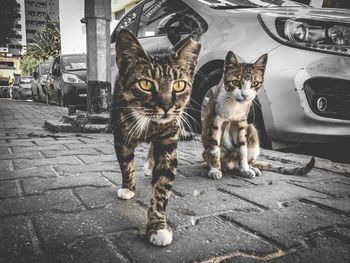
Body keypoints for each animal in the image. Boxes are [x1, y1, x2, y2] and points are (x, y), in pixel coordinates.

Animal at [110, 29, 201, 249]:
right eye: (145, 84)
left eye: (179, 85)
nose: (167, 106)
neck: (149, 123)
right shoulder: (121, 138)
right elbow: (126, 165)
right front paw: (128, 188)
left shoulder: (167, 142)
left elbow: (162, 186)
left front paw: (158, 227)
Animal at [202, 50, 314, 180]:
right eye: (235, 82)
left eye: (254, 83)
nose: (245, 95)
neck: (234, 105)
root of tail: (231, 163)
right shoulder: (215, 121)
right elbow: (215, 147)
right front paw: (215, 169)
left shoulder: (242, 123)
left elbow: (243, 148)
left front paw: (245, 169)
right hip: (207, 152)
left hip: (251, 129)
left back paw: (250, 168)